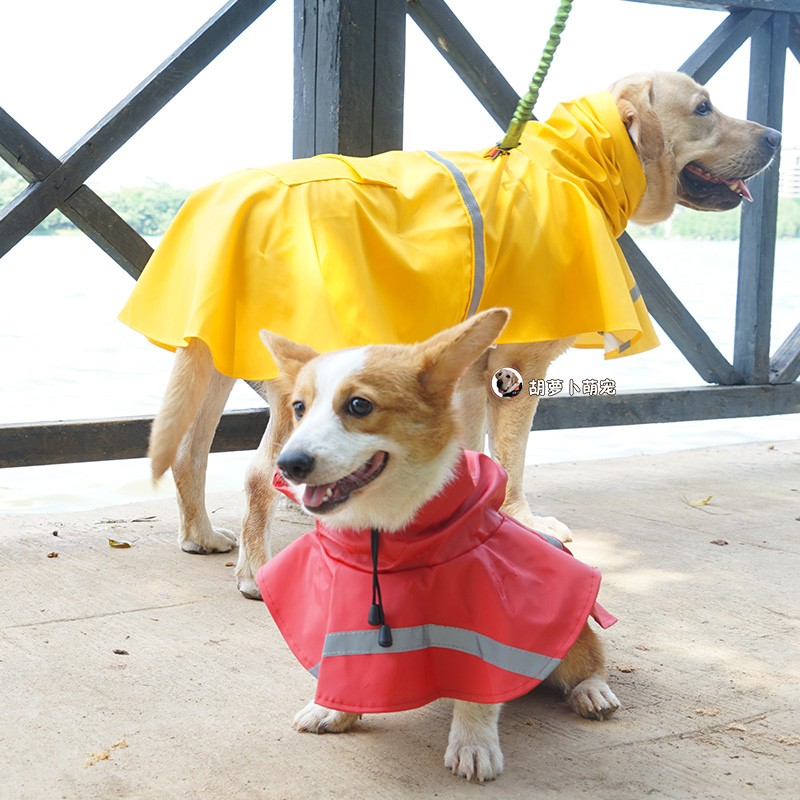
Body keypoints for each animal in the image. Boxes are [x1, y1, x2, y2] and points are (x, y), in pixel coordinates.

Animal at [133, 70, 780, 592]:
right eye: (704, 108)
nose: (777, 136)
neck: (573, 164)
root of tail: (226, 200)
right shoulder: (518, 370)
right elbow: (513, 458)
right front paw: (523, 520)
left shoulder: (468, 375)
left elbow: (472, 454)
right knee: (257, 473)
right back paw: (254, 571)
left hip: (217, 358)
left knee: (189, 454)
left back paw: (202, 534)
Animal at [256, 308, 620, 780]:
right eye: (299, 408)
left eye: (359, 405)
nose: (287, 465)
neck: (385, 528)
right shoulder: (347, 605)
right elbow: (343, 666)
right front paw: (334, 710)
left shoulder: (482, 618)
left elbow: (478, 693)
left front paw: (473, 745)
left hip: (571, 635)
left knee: (589, 657)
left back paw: (592, 691)